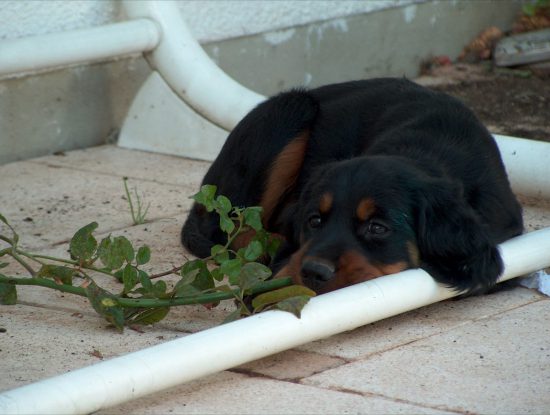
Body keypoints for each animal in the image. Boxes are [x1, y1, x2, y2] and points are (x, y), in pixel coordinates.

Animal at [182, 79, 528, 296]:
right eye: (314, 221)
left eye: (377, 228)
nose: (313, 272)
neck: (425, 149)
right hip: (290, 109)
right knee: (229, 229)